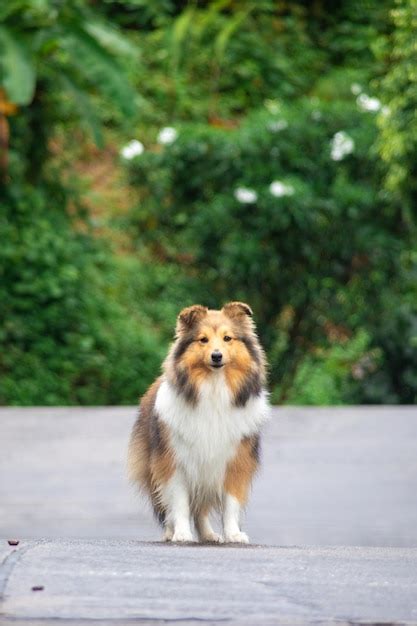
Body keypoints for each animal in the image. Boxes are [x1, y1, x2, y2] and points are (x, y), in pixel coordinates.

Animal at [127, 302, 268, 540]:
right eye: (203, 339)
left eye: (227, 338)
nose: (216, 356)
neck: (214, 388)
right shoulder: (176, 462)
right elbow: (179, 502)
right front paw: (182, 533)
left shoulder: (235, 461)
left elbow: (231, 503)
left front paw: (234, 534)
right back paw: (171, 532)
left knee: (201, 508)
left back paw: (209, 535)